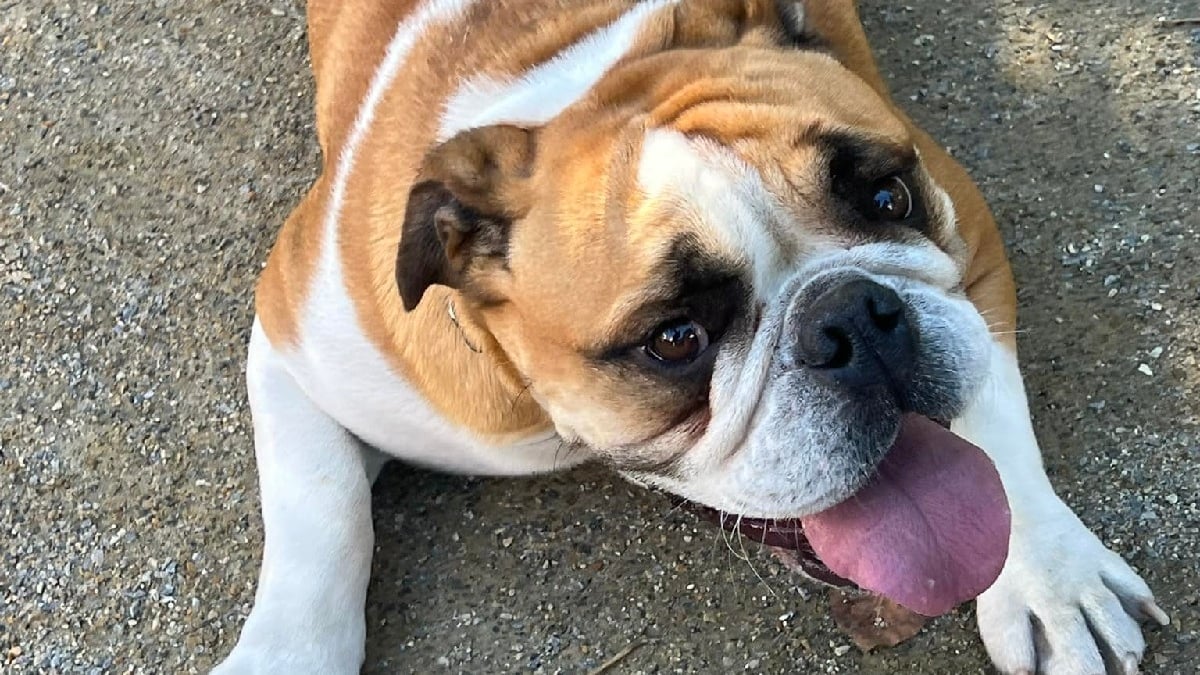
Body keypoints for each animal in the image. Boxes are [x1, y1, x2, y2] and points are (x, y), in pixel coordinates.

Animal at [211, 2, 1166, 667]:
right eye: (674, 339)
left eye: (889, 196)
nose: (852, 315)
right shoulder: (299, 338)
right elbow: (321, 515)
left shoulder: (969, 240)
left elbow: (994, 429)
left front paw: (1050, 577)